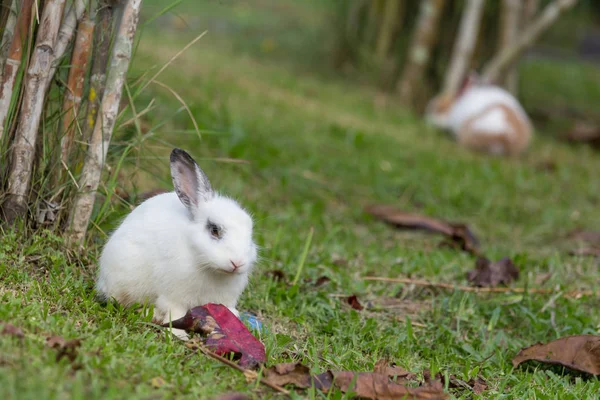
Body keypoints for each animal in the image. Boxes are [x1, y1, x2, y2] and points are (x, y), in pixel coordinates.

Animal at [96, 148, 258, 340]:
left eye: (250, 234)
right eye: (214, 230)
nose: (237, 263)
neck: (205, 264)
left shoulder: (224, 301)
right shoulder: (173, 298)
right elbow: (176, 314)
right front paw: (180, 335)